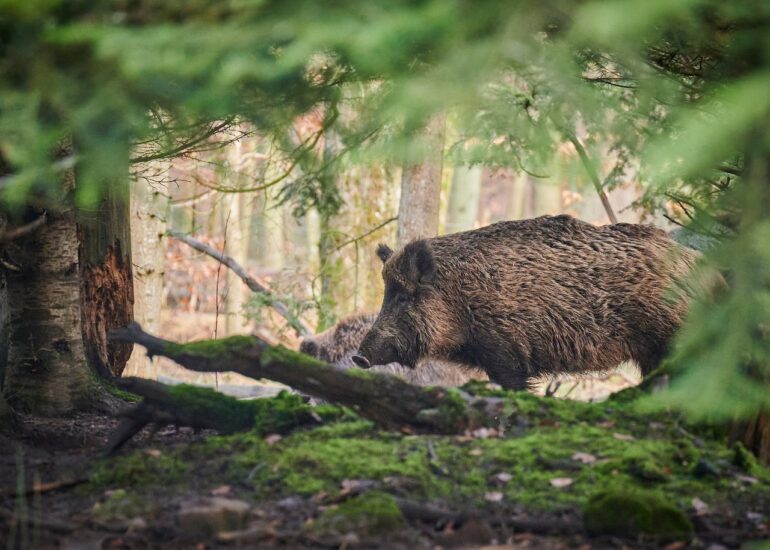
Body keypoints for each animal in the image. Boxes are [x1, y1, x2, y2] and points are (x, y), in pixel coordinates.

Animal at [353, 215, 704, 390]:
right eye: (387, 293)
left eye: (403, 296)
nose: (358, 357)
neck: (459, 299)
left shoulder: (506, 351)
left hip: (673, 338)